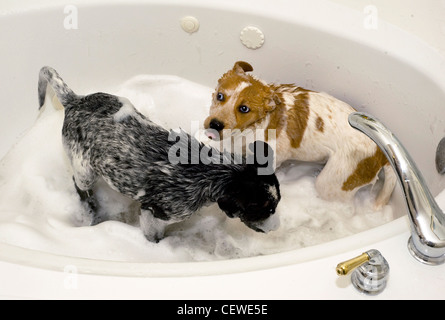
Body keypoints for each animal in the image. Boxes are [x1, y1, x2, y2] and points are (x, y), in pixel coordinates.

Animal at [205, 61, 396, 209]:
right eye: (220, 96)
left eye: (244, 109)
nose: (215, 124)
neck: (253, 126)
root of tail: (381, 152)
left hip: (333, 182)